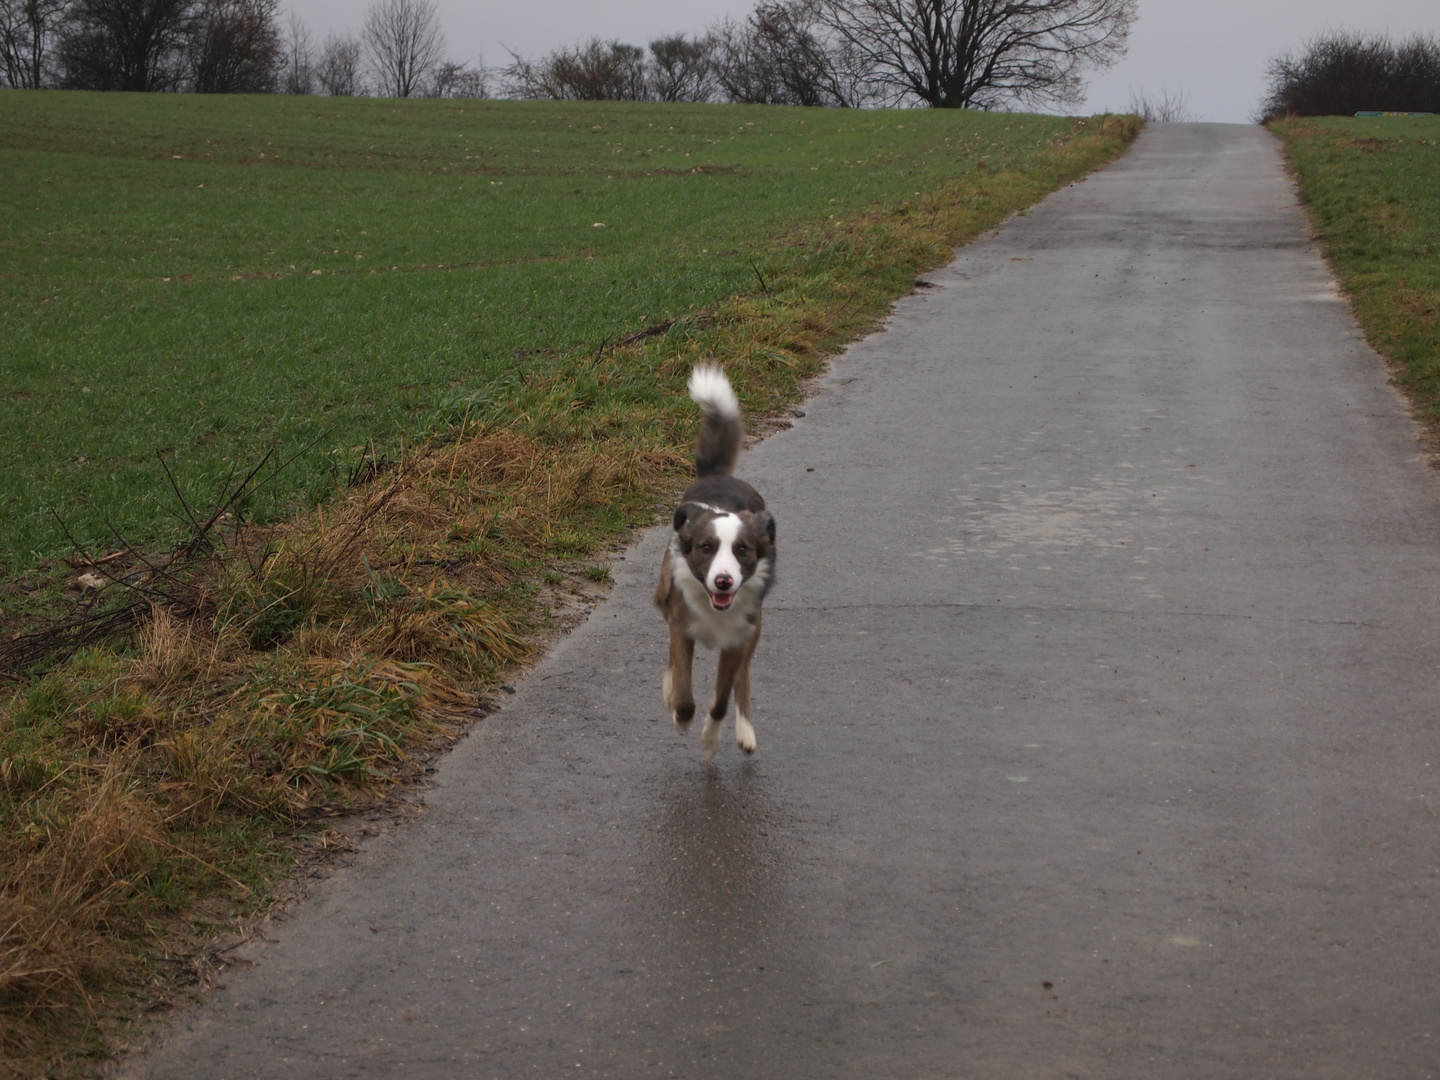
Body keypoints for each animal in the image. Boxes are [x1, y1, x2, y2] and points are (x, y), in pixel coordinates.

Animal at [659, 365, 783, 760]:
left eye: (742, 550)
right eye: (706, 547)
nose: (724, 581)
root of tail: (717, 475)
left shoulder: (737, 640)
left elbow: (722, 701)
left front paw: (712, 739)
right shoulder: (681, 626)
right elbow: (685, 693)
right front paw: (680, 715)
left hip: (753, 630)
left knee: (742, 681)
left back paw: (745, 732)